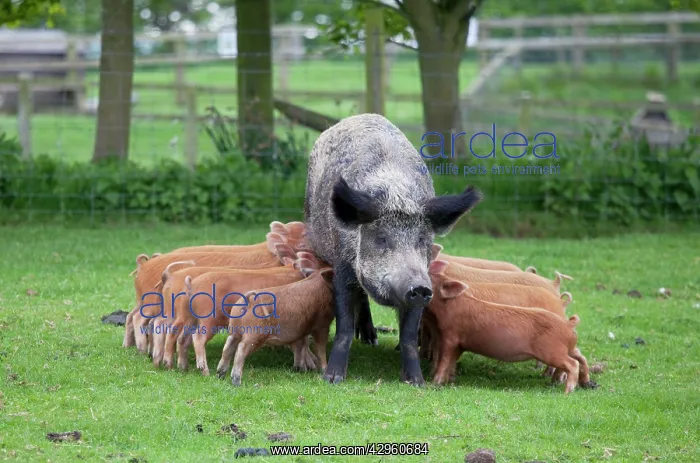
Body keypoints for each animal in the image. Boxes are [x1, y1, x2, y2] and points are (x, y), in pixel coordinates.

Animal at [303, 113, 481, 385]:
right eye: (382, 239)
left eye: (422, 239)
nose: (418, 287)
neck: (396, 195)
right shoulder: (342, 266)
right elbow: (344, 323)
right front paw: (333, 379)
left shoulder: (424, 279)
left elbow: (407, 335)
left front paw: (417, 382)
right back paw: (369, 339)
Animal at [424, 261, 593, 393]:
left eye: (429, 278)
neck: (449, 306)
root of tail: (568, 323)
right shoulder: (458, 343)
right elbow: (451, 361)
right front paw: (448, 381)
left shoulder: (451, 336)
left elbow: (444, 360)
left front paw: (433, 383)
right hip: (565, 348)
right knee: (579, 356)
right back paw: (584, 383)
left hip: (552, 352)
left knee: (572, 363)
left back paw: (567, 391)